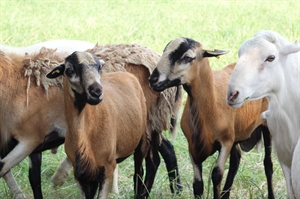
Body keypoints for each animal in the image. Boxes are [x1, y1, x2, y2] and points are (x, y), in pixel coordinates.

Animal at [46, 51, 149, 199]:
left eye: (99, 68)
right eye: (69, 70)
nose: (97, 92)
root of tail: (123, 73)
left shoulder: (107, 168)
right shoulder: (82, 174)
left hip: (141, 141)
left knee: (138, 172)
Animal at [148, 37, 274, 199]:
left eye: (187, 58)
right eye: (164, 51)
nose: (153, 79)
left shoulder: (225, 142)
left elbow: (216, 175)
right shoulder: (193, 146)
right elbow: (197, 184)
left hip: (266, 127)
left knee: (268, 164)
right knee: (236, 160)